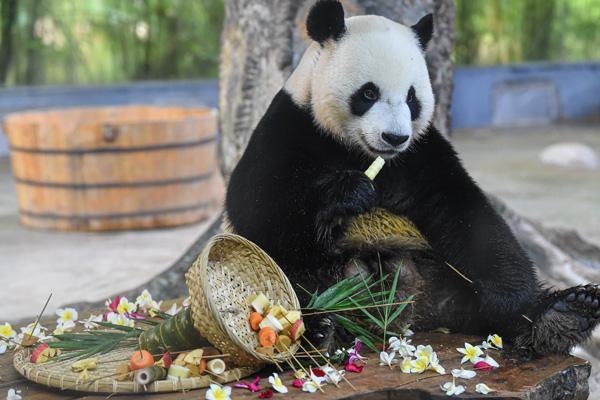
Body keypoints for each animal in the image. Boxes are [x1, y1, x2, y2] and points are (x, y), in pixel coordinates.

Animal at [223, 0, 596, 356]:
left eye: (412, 97)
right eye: (368, 93)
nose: (394, 137)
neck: (360, 152)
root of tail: (415, 312)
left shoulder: (421, 154)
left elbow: (465, 211)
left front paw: (514, 298)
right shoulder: (290, 127)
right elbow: (259, 208)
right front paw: (348, 195)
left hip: (439, 272)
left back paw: (562, 315)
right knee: (292, 273)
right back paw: (318, 329)